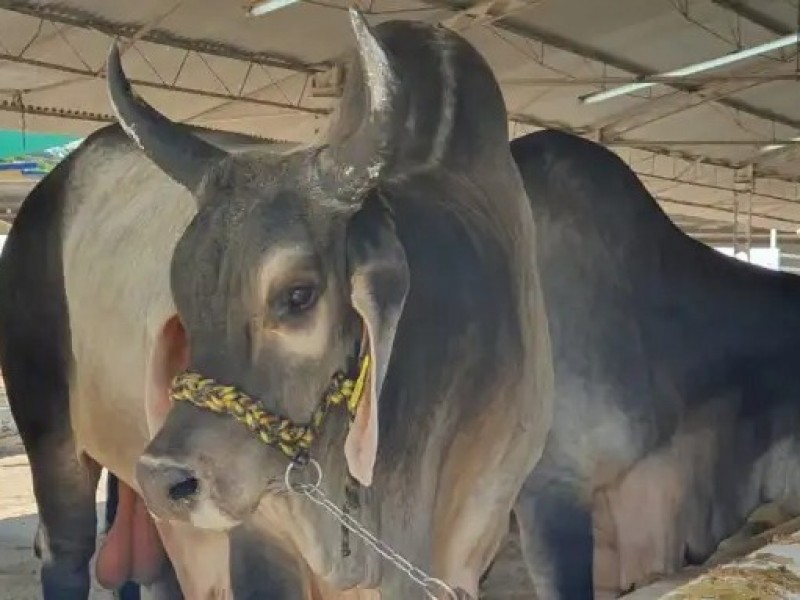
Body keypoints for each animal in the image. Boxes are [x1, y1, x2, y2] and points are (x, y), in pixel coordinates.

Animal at [0, 10, 552, 600]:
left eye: (297, 295)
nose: (166, 477)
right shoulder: (260, 538)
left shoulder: (469, 545)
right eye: (182, 289)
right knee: (67, 548)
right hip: (49, 429)